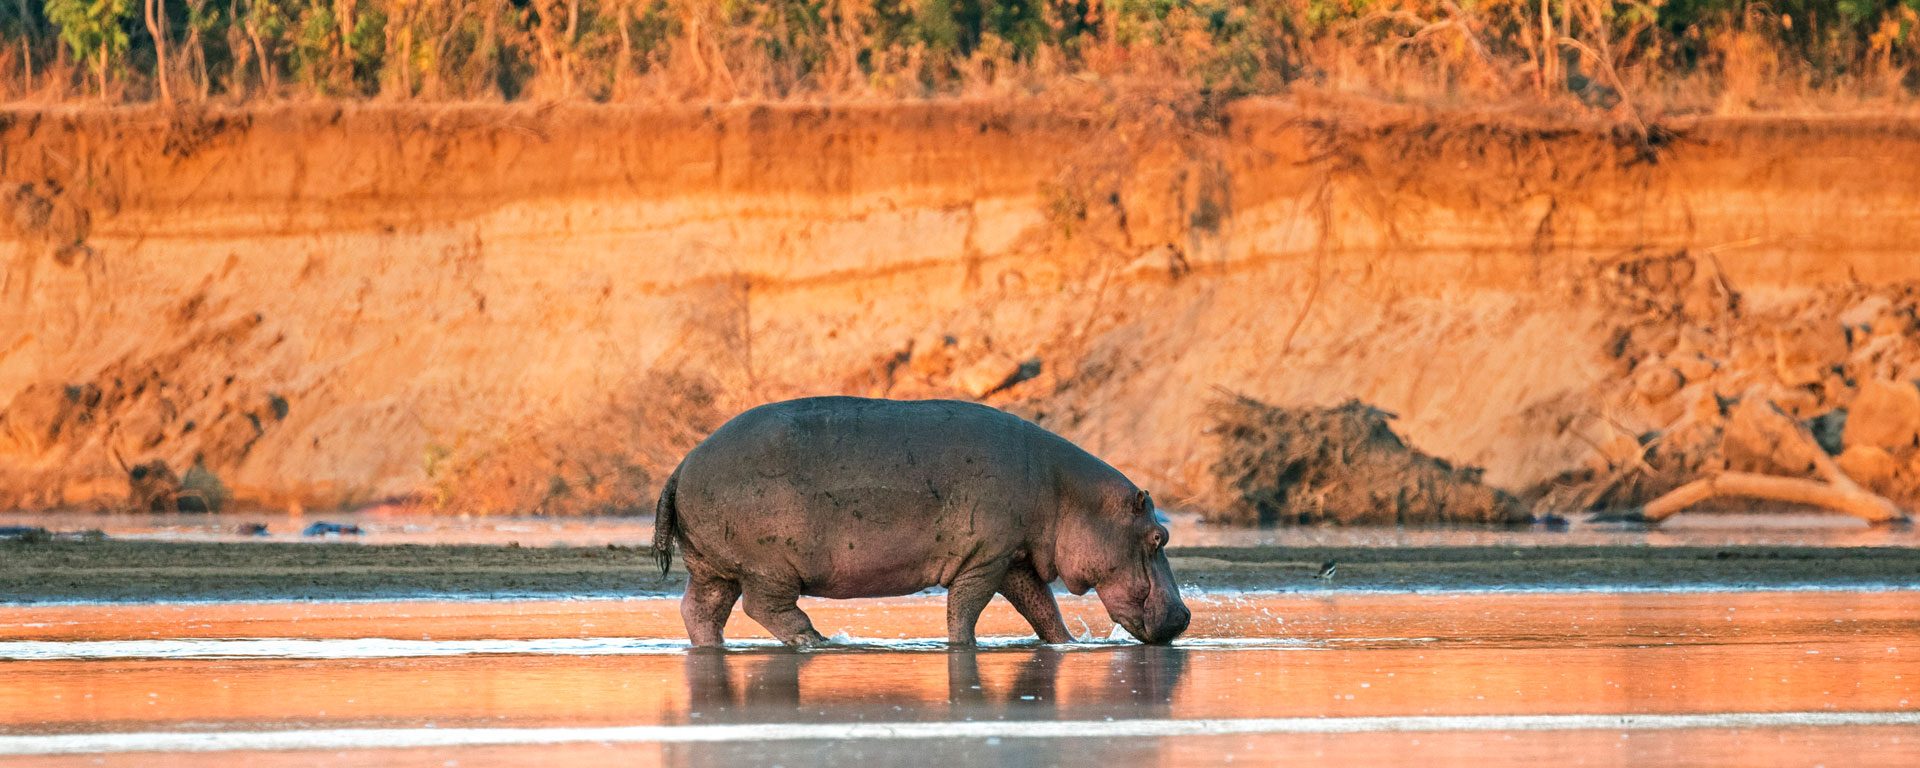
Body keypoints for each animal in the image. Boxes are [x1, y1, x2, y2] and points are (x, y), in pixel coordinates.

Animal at [652, 399, 1190, 645]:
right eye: (1158, 535)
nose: (1185, 616)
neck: (1068, 493)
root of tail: (681, 464)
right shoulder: (985, 559)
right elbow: (966, 609)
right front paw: (962, 646)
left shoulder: (1014, 557)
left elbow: (1042, 608)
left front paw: (1068, 645)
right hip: (766, 566)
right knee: (765, 607)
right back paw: (816, 640)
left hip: (712, 565)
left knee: (700, 610)